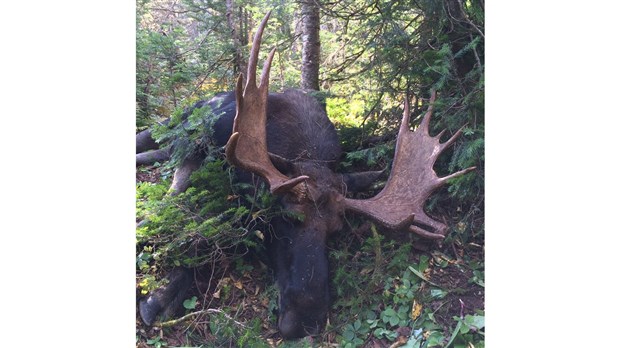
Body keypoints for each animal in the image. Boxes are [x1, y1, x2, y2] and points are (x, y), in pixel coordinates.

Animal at [136, 12, 474, 342]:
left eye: (336, 230)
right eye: (287, 217)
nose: (304, 322)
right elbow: (189, 226)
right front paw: (159, 293)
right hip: (180, 120)